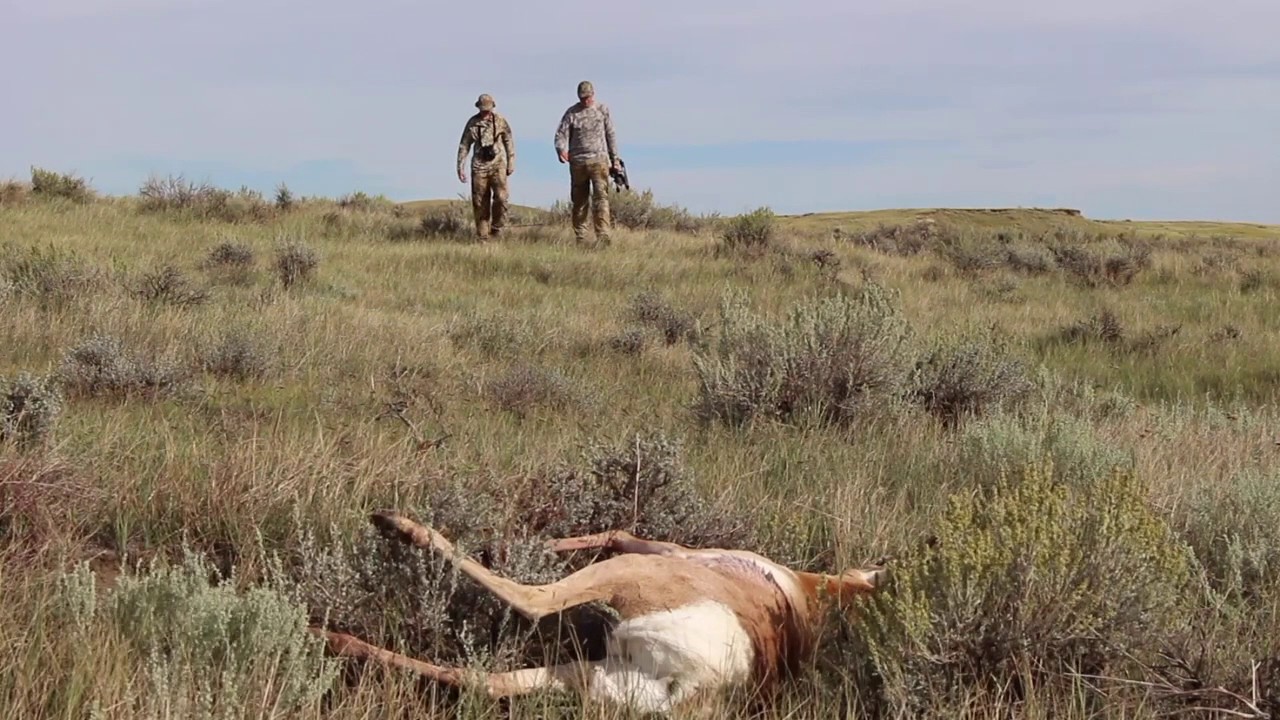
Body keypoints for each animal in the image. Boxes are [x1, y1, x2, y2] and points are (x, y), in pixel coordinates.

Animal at [310, 511, 887, 714]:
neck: (815, 592)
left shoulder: (669, 552)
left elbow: (617, 531)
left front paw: (515, 542)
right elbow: (614, 528)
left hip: (622, 585)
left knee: (532, 599)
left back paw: (398, 527)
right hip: (591, 674)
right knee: (484, 681)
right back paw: (332, 638)